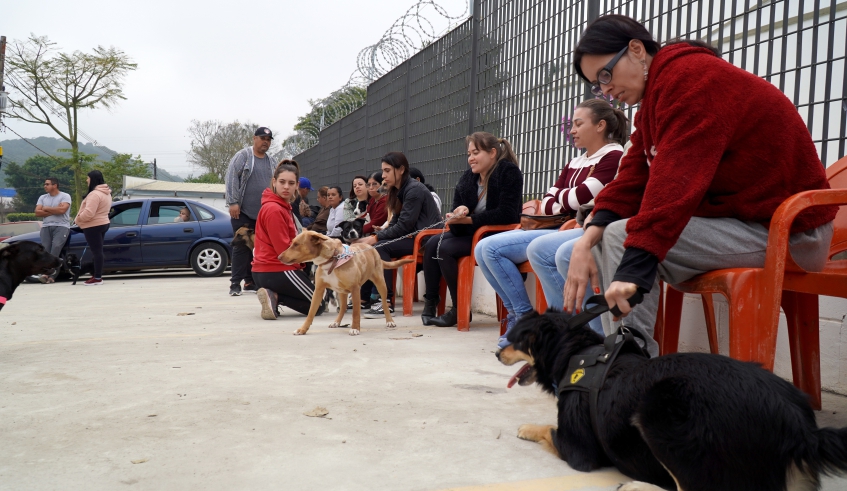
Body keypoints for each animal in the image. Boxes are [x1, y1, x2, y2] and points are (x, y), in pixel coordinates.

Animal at [280, 231, 412, 334]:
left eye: (296, 244)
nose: (279, 257)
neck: (332, 259)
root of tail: (371, 247)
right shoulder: (318, 290)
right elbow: (311, 312)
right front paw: (302, 329)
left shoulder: (355, 289)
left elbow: (356, 312)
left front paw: (355, 328)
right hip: (341, 291)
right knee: (343, 307)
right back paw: (336, 322)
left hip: (380, 283)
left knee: (384, 303)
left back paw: (389, 321)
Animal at [500, 312, 847, 491]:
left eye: (514, 338)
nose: (496, 352)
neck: (577, 352)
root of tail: (798, 426)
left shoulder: (578, 451)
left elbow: (548, 429)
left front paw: (525, 428)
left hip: (657, 414)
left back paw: (637, 486)